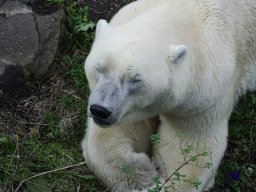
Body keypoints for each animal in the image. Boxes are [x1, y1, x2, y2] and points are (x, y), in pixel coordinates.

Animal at [81, 0, 256, 191]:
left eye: (136, 79)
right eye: (99, 68)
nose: (100, 110)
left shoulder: (204, 97)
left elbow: (191, 147)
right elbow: (111, 135)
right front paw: (142, 174)